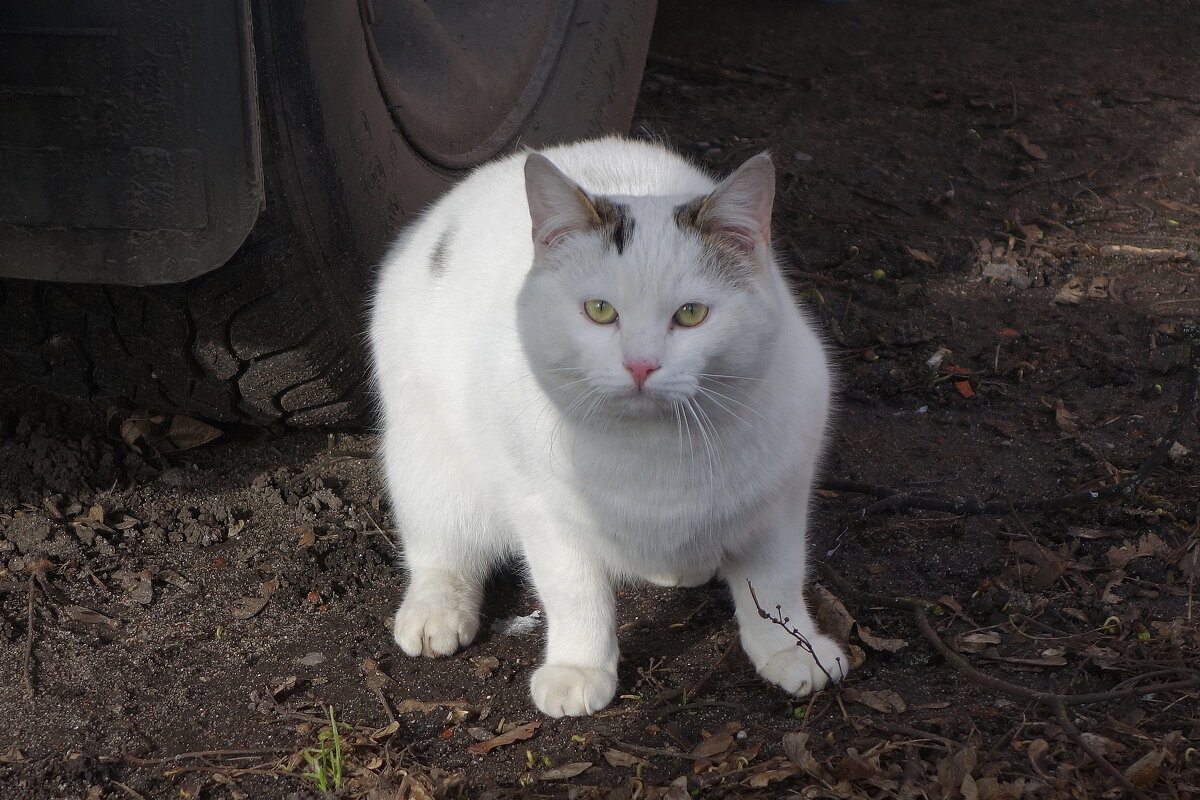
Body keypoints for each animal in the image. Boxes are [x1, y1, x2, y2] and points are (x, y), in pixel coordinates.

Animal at [369, 134, 849, 714]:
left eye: (691, 314)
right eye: (599, 310)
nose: (640, 364)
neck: (656, 449)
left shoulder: (780, 503)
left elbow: (776, 583)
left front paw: (792, 649)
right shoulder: (547, 515)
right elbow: (575, 594)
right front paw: (578, 670)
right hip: (430, 465)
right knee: (441, 549)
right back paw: (436, 611)